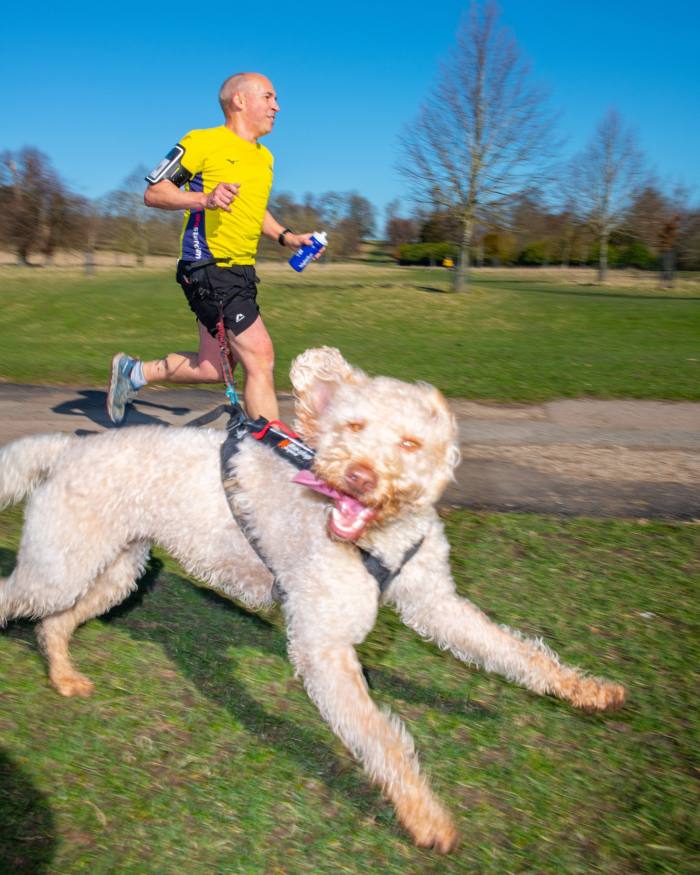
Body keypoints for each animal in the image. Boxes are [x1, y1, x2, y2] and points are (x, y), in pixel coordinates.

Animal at [0, 350, 624, 856]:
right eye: (353, 426)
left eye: (409, 443)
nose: (358, 475)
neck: (376, 540)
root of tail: (69, 447)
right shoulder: (322, 647)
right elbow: (382, 741)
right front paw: (424, 816)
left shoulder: (434, 604)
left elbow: (512, 651)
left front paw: (583, 688)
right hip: (59, 566)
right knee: (18, 598)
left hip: (113, 572)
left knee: (54, 623)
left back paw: (64, 675)